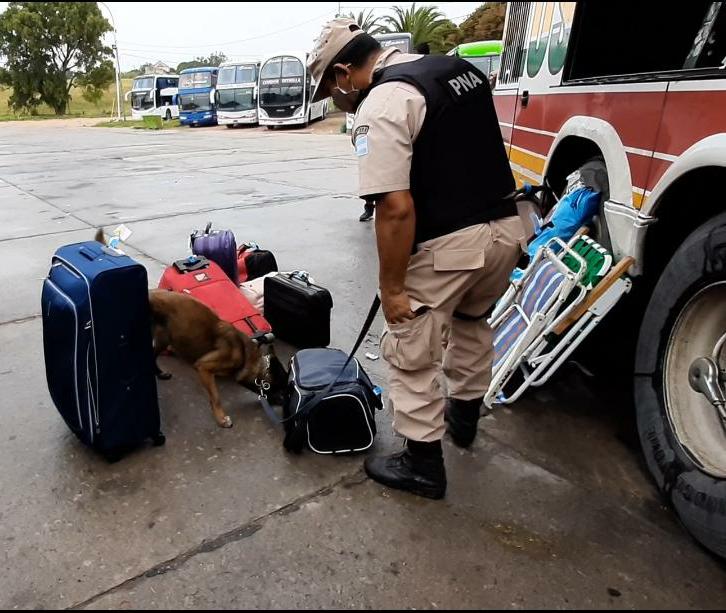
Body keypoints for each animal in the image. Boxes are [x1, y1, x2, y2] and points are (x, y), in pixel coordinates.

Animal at [95, 228, 288, 426]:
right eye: (283, 389)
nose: (284, 407)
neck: (245, 354)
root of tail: (148, 292)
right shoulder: (204, 368)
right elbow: (215, 396)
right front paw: (221, 417)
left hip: (165, 338)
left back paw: (159, 373)